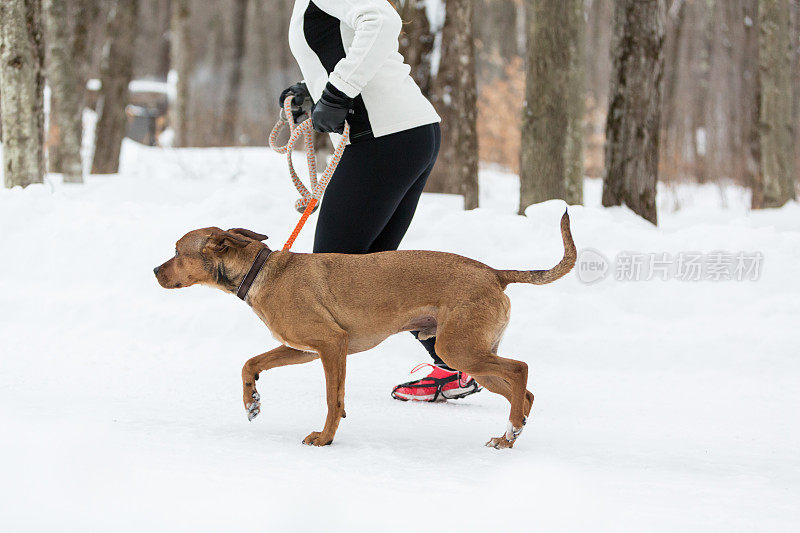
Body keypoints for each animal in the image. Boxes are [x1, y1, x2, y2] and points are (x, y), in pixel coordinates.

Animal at [155, 210, 576, 446]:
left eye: (177, 251)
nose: (155, 270)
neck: (262, 272)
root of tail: (494, 273)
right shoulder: (302, 350)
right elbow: (250, 364)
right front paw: (252, 401)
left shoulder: (331, 344)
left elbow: (333, 398)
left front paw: (325, 438)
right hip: (470, 355)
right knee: (524, 393)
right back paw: (510, 435)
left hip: (459, 349)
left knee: (520, 370)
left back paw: (512, 428)